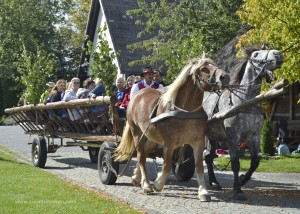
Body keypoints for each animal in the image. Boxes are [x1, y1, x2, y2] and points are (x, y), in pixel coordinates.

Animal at [113, 55, 229, 201]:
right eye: (203, 69)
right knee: (140, 156)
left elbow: (199, 166)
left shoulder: (198, 141)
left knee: (144, 154)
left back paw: (136, 178)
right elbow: (167, 165)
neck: (186, 111)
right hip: (137, 134)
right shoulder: (169, 143)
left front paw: (203, 192)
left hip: (151, 137)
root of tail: (137, 96)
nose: (225, 76)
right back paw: (146, 185)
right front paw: (158, 184)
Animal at [204, 46, 284, 201]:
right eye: (256, 54)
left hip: (213, 137)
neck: (244, 102)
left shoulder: (254, 136)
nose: (278, 54)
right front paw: (237, 189)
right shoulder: (233, 137)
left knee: (208, 157)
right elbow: (235, 163)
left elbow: (255, 162)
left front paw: (242, 180)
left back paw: (214, 182)